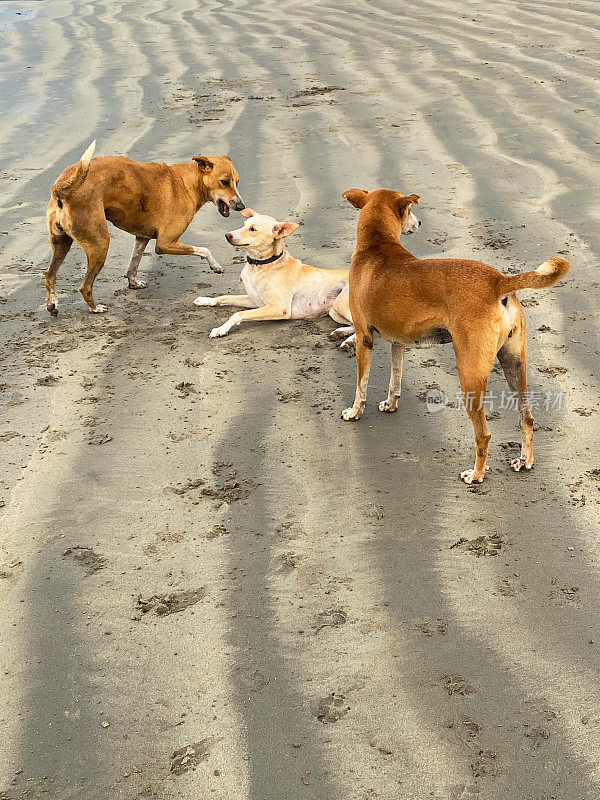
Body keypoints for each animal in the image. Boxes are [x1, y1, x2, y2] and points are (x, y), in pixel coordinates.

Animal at [45, 142, 244, 318]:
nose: (241, 206)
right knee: (84, 287)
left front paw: (133, 283)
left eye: (237, 182)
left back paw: (52, 304)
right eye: (224, 182)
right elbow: (204, 249)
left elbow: (133, 264)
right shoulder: (165, 243)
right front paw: (215, 266)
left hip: (62, 244)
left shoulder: (142, 238)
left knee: (49, 274)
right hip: (100, 244)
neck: (187, 182)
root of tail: (61, 189)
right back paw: (95, 308)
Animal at [193, 209, 352, 338]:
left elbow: (238, 314)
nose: (227, 235)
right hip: (334, 312)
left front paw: (221, 329)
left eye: (253, 229)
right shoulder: (255, 301)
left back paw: (347, 341)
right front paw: (206, 300)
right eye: (244, 224)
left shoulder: (279, 308)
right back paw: (341, 334)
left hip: (340, 304)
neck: (260, 266)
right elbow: (224, 297)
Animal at [340, 189, 568, 482]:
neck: (376, 246)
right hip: (514, 364)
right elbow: (395, 380)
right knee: (526, 418)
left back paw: (476, 474)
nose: (420, 223)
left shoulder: (364, 337)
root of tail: (499, 282)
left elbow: (361, 385)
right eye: (411, 210)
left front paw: (354, 412)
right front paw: (390, 404)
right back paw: (524, 460)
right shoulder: (399, 343)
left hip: (469, 373)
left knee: (484, 434)